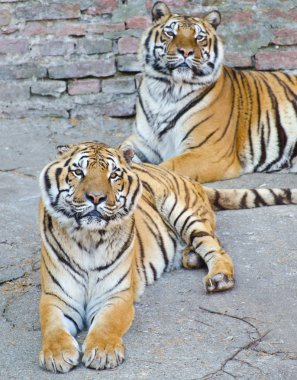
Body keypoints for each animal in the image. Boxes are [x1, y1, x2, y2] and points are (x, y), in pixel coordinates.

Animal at [38, 141, 294, 372]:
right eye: (78, 172)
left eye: (113, 175)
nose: (96, 198)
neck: (89, 238)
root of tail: (184, 177)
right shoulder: (55, 296)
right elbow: (52, 326)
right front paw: (57, 354)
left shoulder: (116, 295)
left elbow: (106, 324)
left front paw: (103, 352)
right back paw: (191, 257)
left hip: (183, 213)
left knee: (215, 245)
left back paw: (219, 277)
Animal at [121, 0, 297, 184]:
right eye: (170, 33)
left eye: (199, 37)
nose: (186, 52)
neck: (167, 90)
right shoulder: (141, 142)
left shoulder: (209, 151)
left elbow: (165, 169)